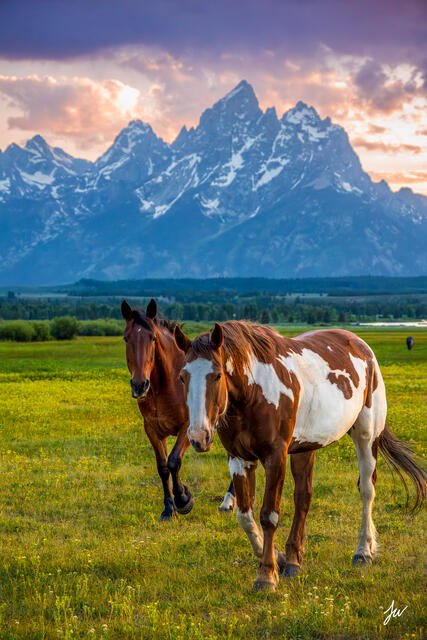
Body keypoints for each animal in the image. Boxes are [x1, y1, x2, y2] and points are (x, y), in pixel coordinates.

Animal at [121, 299, 234, 520]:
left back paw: (228, 502)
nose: (139, 385)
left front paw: (183, 499)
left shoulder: (188, 428)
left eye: (153, 338)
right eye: (126, 338)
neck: (166, 385)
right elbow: (163, 467)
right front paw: (168, 508)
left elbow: (174, 461)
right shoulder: (153, 430)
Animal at [174, 320, 426, 591]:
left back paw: (362, 552)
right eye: (182, 377)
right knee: (303, 497)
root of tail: (362, 347)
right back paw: (294, 560)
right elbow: (245, 516)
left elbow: (269, 515)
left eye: (217, 375)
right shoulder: (239, 458)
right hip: (305, 448)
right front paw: (280, 558)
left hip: (367, 435)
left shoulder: (275, 457)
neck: (254, 393)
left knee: (367, 490)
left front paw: (266, 576)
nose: (199, 436)